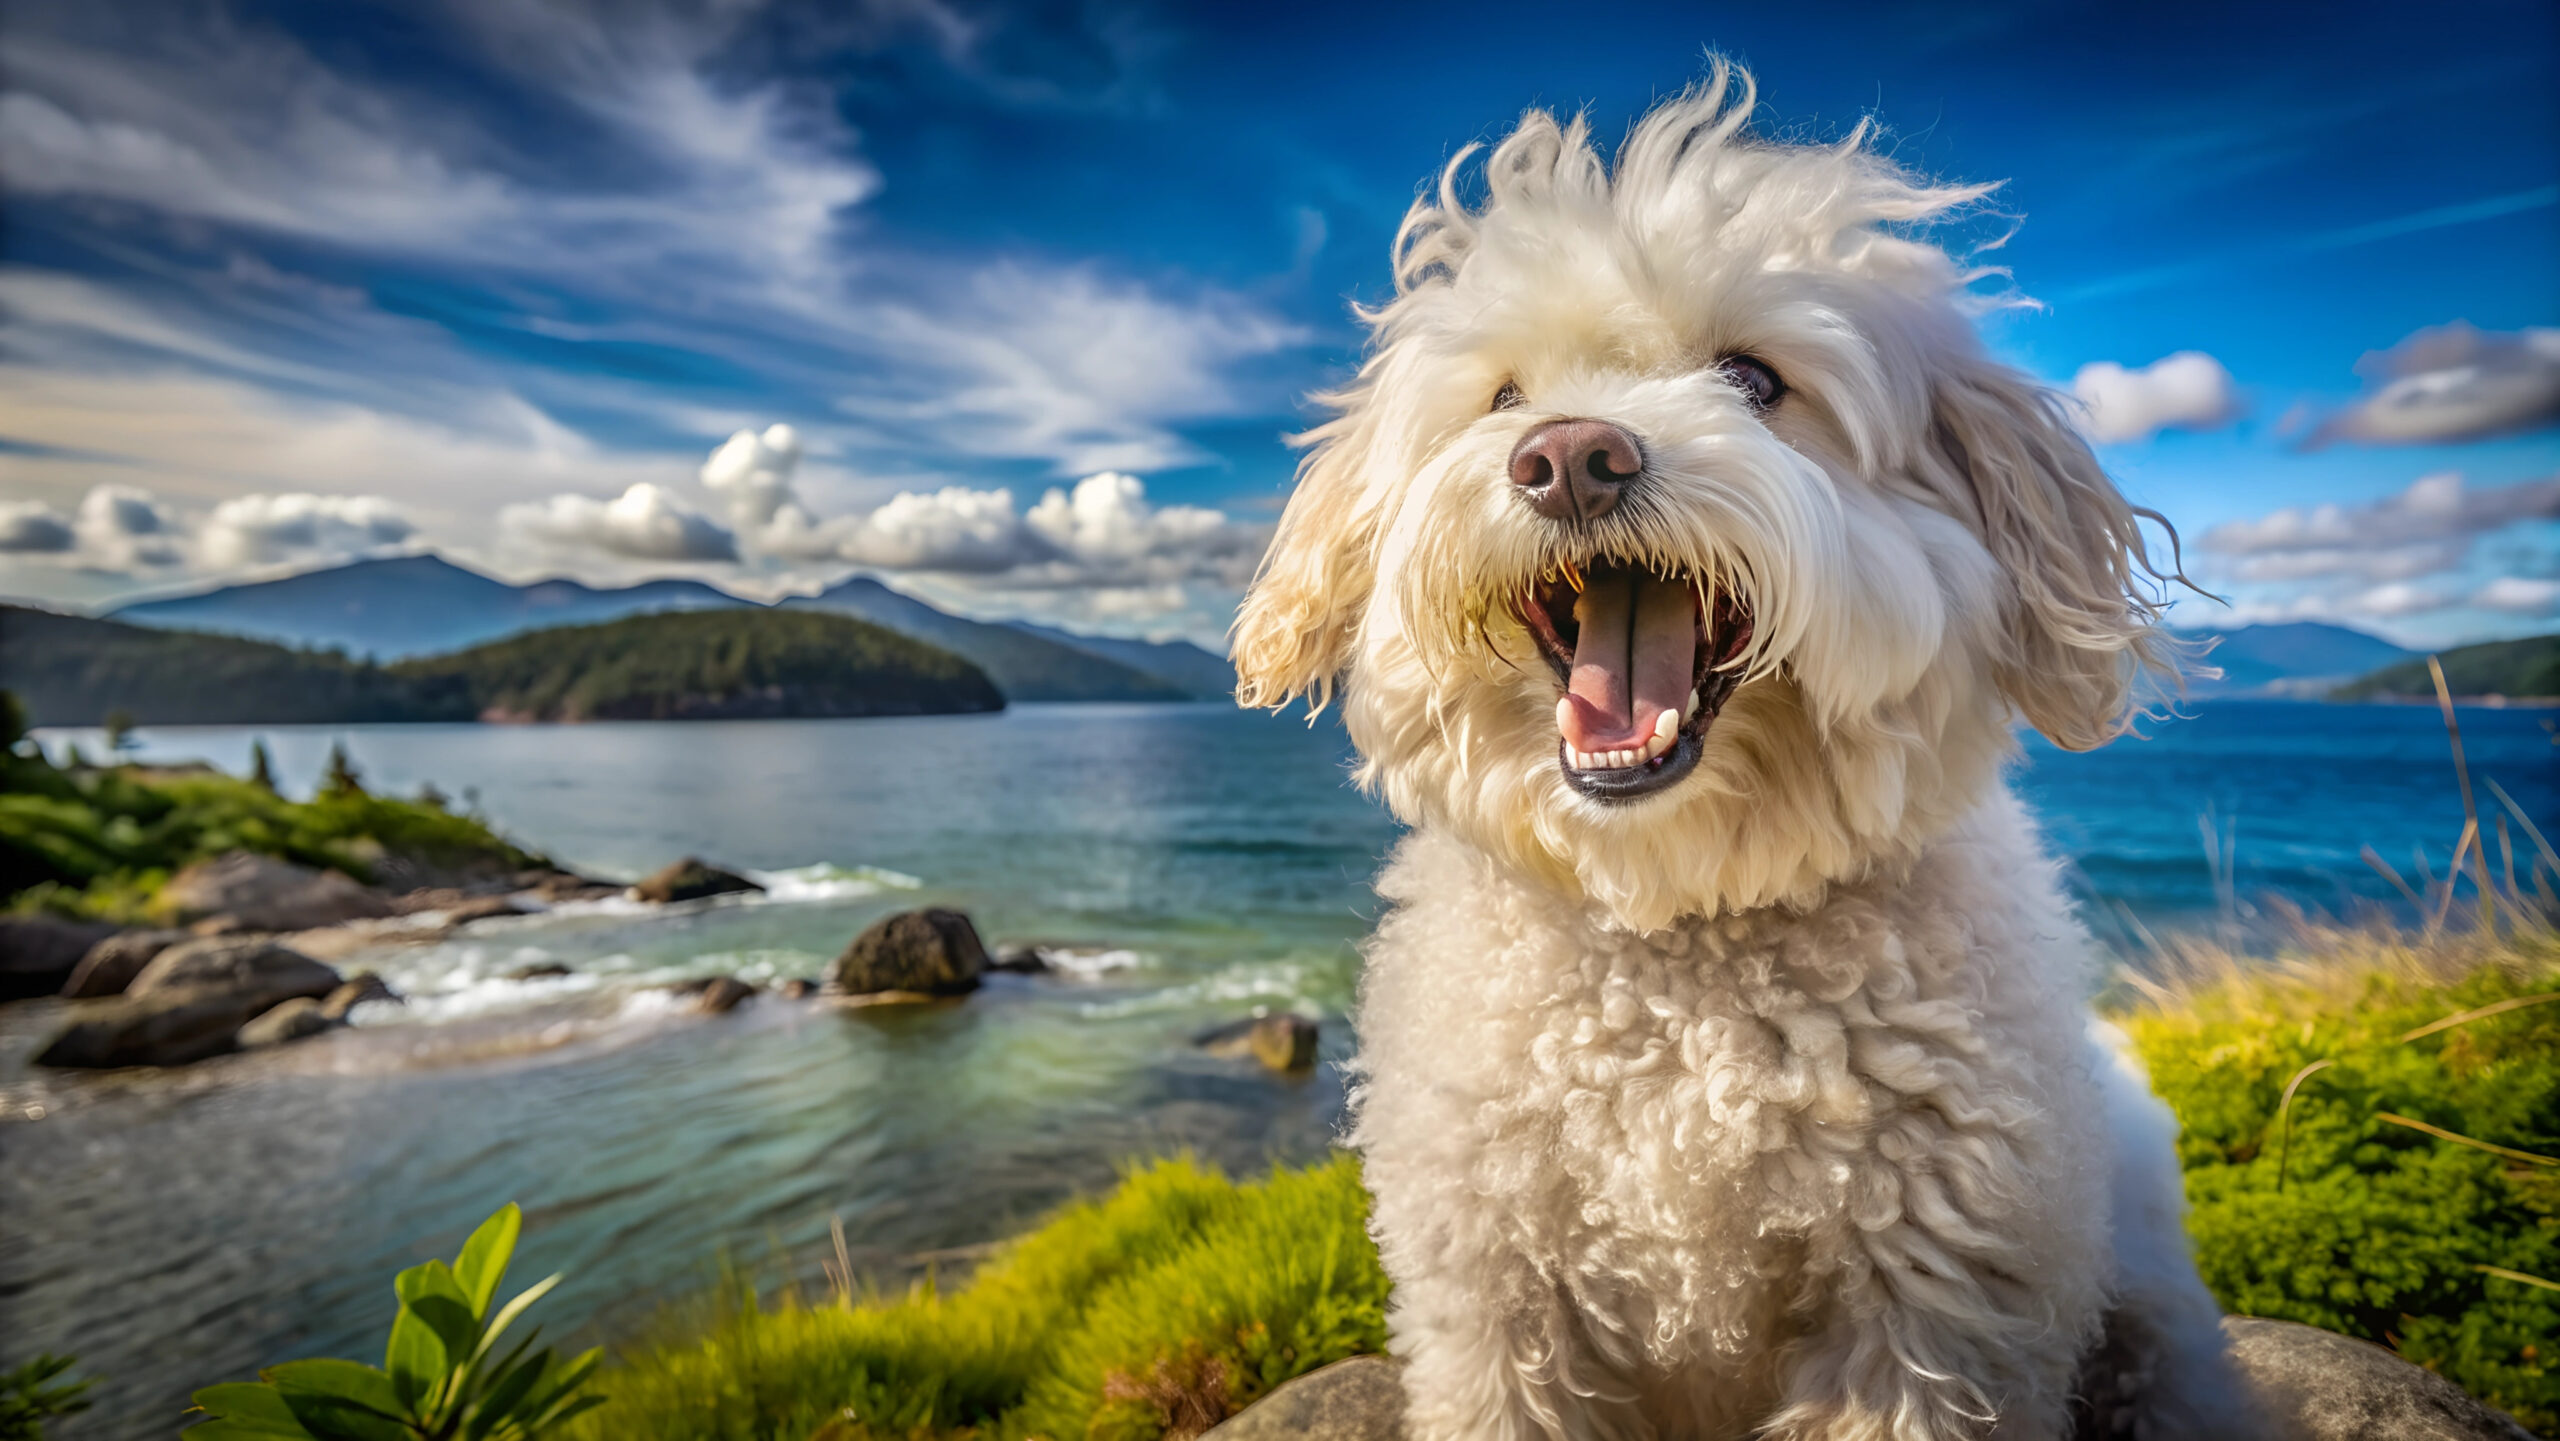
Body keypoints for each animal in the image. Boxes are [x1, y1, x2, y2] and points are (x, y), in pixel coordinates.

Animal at [1228, 64, 2252, 1441]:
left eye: (1754, 379)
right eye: (1503, 397)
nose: (1568, 457)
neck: (1682, 951)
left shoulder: (1924, 1311)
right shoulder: (1500, 1307)